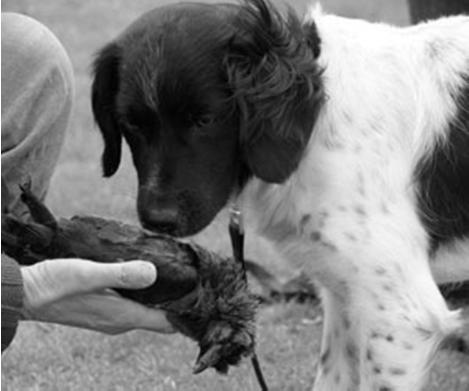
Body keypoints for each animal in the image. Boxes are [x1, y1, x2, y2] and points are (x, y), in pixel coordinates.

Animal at [90, 0, 468, 391]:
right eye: (131, 124)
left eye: (205, 120)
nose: (158, 219)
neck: (315, 127)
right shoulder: (343, 296)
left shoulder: (400, 314)